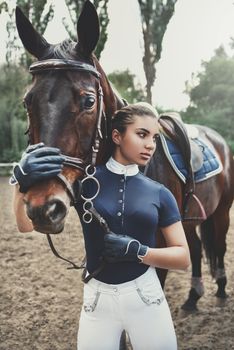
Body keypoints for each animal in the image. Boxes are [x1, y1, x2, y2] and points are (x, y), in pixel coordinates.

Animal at [15, 0, 233, 312]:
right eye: (27, 101)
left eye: (88, 101)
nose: (43, 207)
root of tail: (217, 139)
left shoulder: (155, 247)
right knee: (194, 247)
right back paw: (193, 298)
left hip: (222, 211)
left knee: (219, 245)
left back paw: (222, 289)